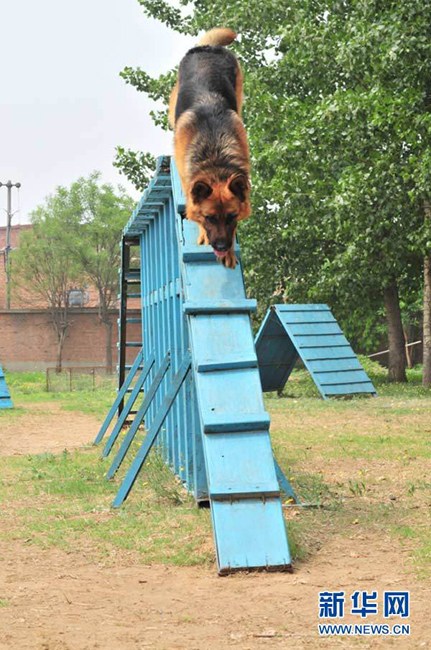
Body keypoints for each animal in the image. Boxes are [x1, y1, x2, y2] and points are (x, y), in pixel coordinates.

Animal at [168, 26, 250, 268]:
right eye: (209, 218)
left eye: (231, 217)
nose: (221, 247)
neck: (215, 157)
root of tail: (207, 47)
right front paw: (204, 234)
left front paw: (230, 252)